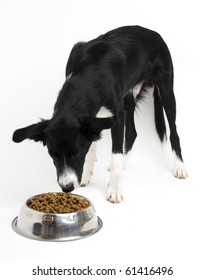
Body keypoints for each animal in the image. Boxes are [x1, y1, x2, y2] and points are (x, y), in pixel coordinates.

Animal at [12, 25, 187, 202]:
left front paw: (115, 190)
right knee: (132, 133)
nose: (67, 187)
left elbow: (115, 153)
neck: (86, 77)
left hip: (166, 90)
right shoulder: (93, 117)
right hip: (128, 97)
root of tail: (152, 32)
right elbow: (93, 146)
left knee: (173, 132)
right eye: (53, 155)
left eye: (76, 154)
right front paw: (86, 176)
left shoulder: (116, 116)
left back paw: (180, 167)